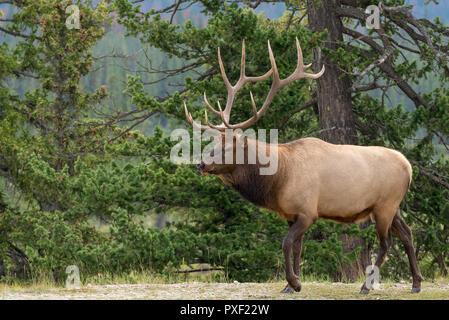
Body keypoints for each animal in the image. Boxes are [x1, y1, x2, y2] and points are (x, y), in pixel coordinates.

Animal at [181, 37, 420, 292]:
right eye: (213, 142)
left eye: (227, 147)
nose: (200, 164)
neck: (278, 180)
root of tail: (409, 167)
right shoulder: (290, 214)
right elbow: (297, 247)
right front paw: (291, 283)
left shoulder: (308, 212)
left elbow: (286, 244)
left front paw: (294, 282)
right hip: (391, 206)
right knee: (407, 233)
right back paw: (416, 282)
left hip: (385, 205)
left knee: (386, 242)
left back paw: (366, 286)